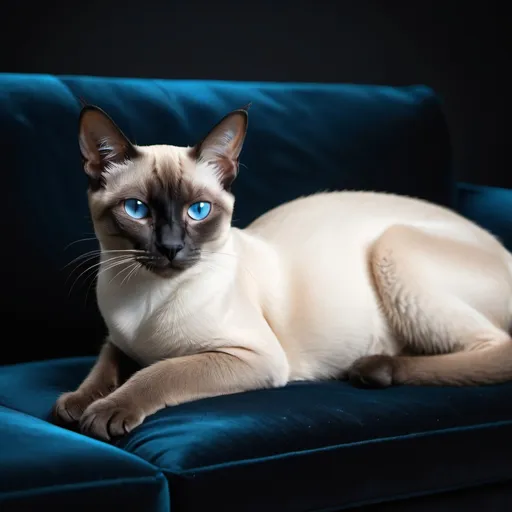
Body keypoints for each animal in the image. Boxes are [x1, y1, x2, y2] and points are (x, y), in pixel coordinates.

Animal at [52, 103, 512, 440]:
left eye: (198, 210)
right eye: (137, 210)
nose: (170, 248)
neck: (143, 301)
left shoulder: (251, 356)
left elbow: (158, 372)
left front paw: (105, 412)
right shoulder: (119, 340)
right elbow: (104, 366)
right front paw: (75, 404)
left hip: (392, 245)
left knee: (496, 350)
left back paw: (374, 369)